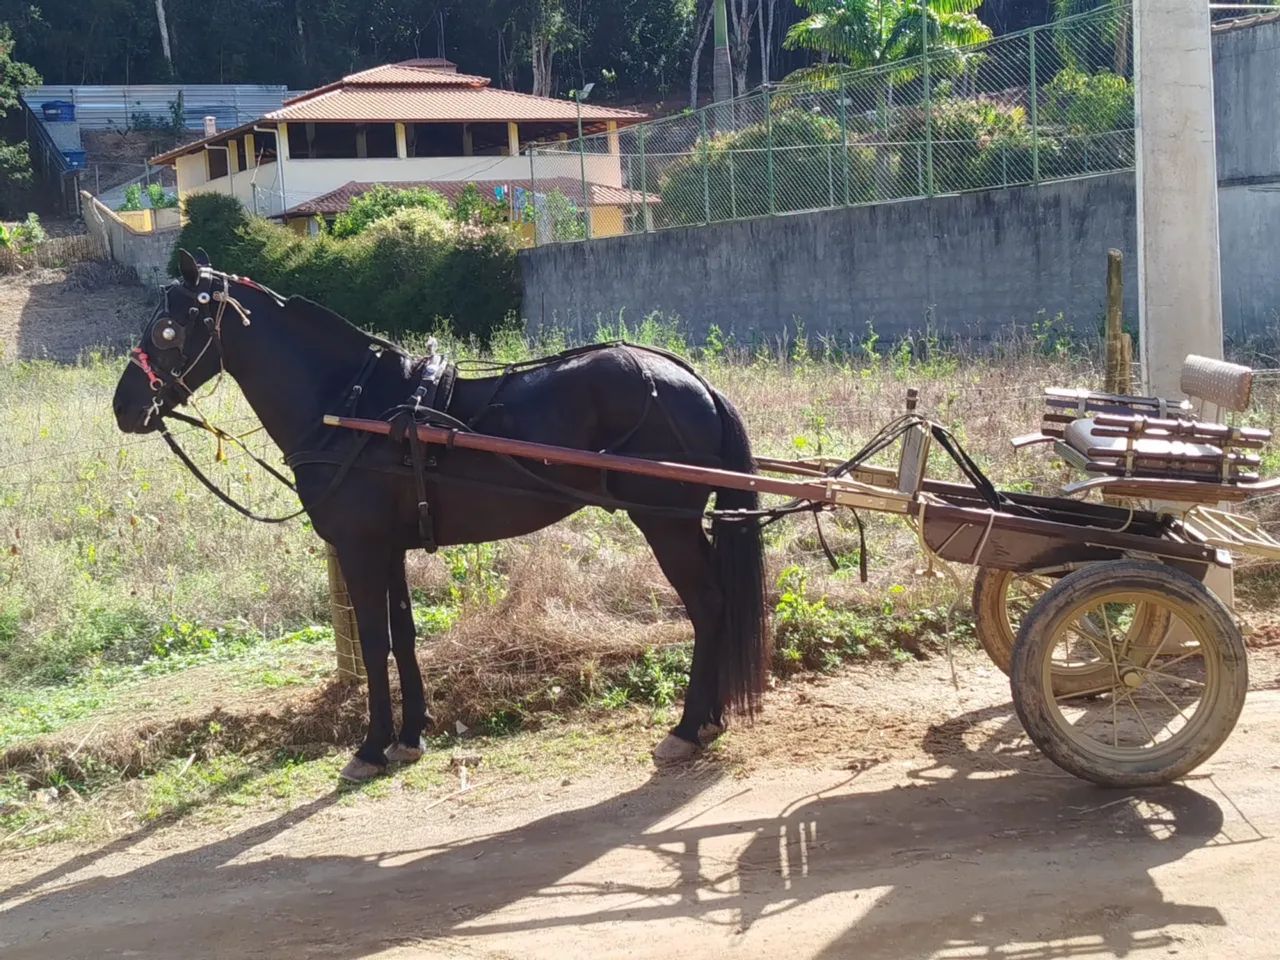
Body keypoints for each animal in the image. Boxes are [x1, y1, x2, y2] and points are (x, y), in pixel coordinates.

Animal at [112, 250, 767, 781]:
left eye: (167, 328)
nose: (124, 407)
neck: (353, 406)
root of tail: (696, 382)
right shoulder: (389, 547)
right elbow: (403, 635)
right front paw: (410, 735)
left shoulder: (360, 547)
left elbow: (375, 640)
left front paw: (371, 746)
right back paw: (709, 719)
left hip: (665, 522)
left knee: (707, 605)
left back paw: (688, 727)